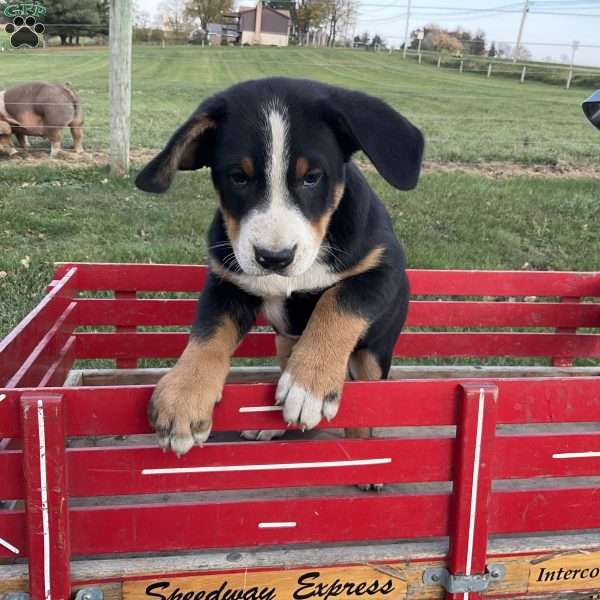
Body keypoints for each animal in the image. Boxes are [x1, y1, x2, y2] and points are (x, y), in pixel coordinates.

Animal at [137, 77, 426, 458]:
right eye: (238, 177)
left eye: (312, 177)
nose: (273, 257)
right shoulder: (227, 281)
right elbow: (207, 332)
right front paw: (183, 395)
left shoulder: (382, 268)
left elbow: (336, 303)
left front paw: (309, 383)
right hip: (283, 341)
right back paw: (269, 426)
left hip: (373, 354)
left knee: (366, 403)